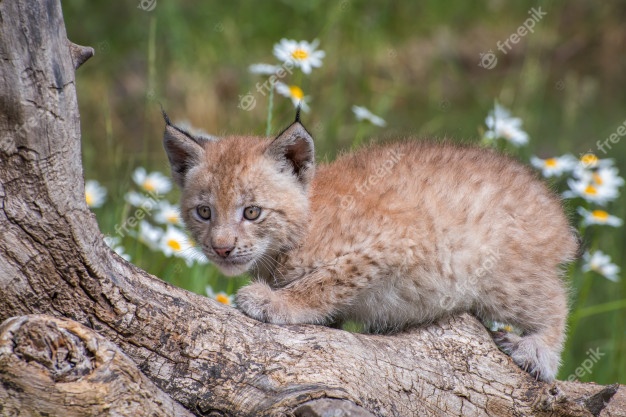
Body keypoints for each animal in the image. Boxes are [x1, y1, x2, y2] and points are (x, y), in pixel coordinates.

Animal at [161, 109, 576, 380]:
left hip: (499, 277)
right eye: (203, 212)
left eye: (252, 212)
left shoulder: (398, 241)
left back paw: (539, 351)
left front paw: (276, 302)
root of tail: (550, 203)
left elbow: (326, 279)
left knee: (556, 299)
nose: (221, 248)